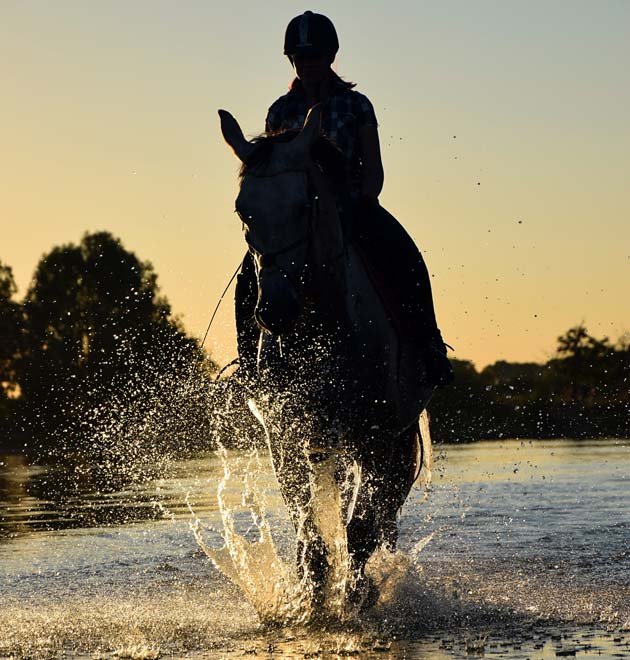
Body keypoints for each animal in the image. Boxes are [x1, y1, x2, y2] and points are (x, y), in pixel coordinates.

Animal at [219, 105, 435, 607]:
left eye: (305, 205)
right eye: (242, 210)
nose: (275, 310)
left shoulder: (378, 437)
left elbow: (359, 531)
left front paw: (353, 597)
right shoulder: (286, 436)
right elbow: (309, 530)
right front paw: (308, 597)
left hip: (391, 438)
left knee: (380, 509)